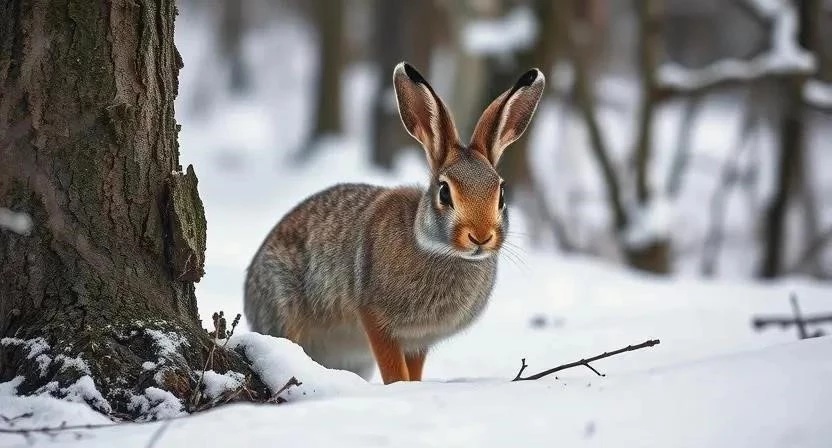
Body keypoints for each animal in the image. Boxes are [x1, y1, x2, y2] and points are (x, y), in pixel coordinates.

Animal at [244, 62, 545, 384]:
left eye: (501, 194)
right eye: (444, 192)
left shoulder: (418, 340)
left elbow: (414, 371)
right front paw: (399, 387)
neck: (437, 250)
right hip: (283, 304)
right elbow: (394, 370)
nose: (480, 236)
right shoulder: (376, 320)